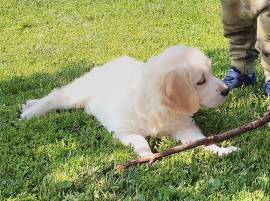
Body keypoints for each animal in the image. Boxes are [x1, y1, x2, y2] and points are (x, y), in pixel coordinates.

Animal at [20, 45, 238, 157]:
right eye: (201, 81)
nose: (226, 90)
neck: (159, 108)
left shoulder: (184, 127)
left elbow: (202, 140)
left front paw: (221, 150)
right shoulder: (124, 130)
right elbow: (140, 140)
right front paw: (148, 156)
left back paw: (28, 103)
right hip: (76, 94)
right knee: (53, 97)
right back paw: (29, 112)